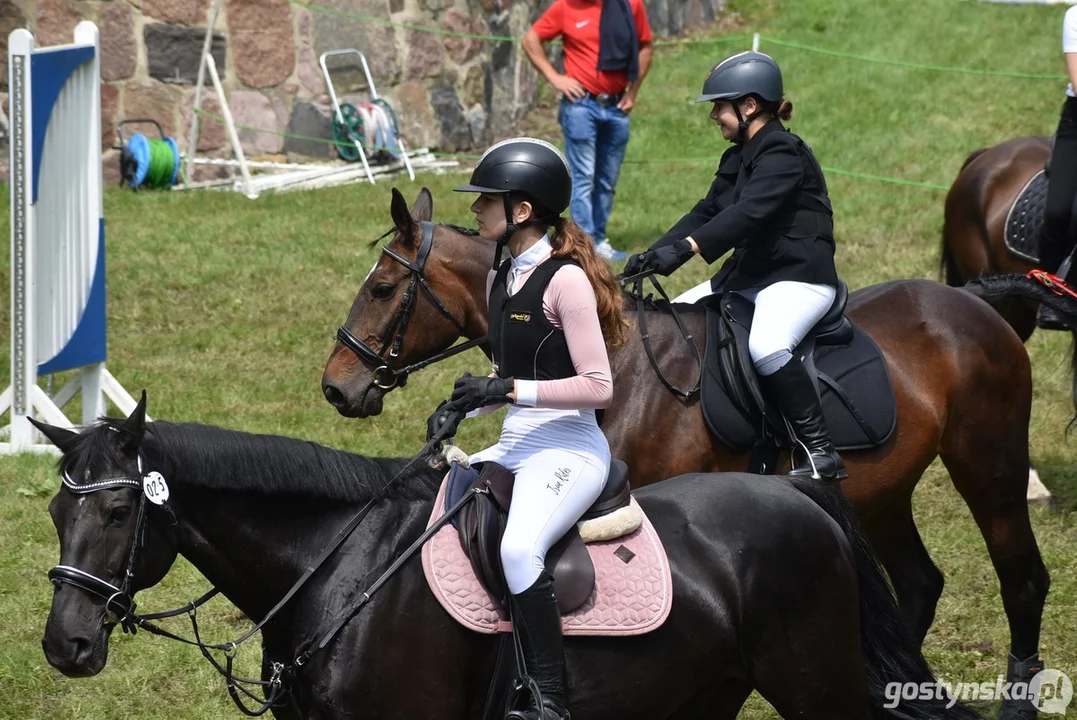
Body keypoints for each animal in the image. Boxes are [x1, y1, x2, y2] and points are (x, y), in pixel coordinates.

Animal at [35, 396, 986, 714]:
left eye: (118, 508)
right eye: (53, 509)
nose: (65, 646)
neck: (337, 572)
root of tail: (796, 492)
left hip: (816, 683)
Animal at [323, 188, 1077, 714]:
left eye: (382, 288)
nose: (337, 386)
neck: (617, 370)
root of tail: (972, 303)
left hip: (989, 467)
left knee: (1021, 579)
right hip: (883, 494)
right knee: (917, 581)